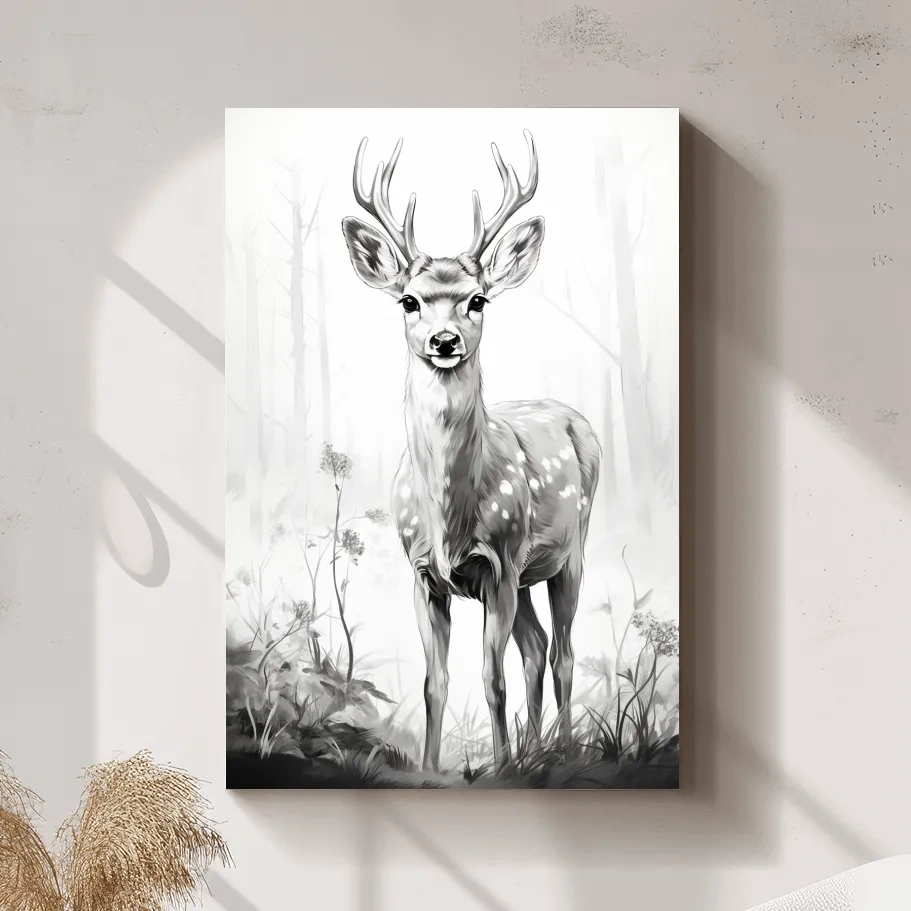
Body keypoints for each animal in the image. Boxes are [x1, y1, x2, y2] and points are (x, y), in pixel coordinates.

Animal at [341, 130, 601, 771]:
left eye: (478, 300)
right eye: (408, 301)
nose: (444, 340)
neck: (449, 521)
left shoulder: (499, 563)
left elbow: (491, 678)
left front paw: (501, 768)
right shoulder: (423, 575)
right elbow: (434, 683)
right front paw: (432, 770)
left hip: (570, 551)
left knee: (561, 651)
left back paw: (558, 753)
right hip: (529, 574)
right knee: (536, 646)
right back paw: (536, 751)